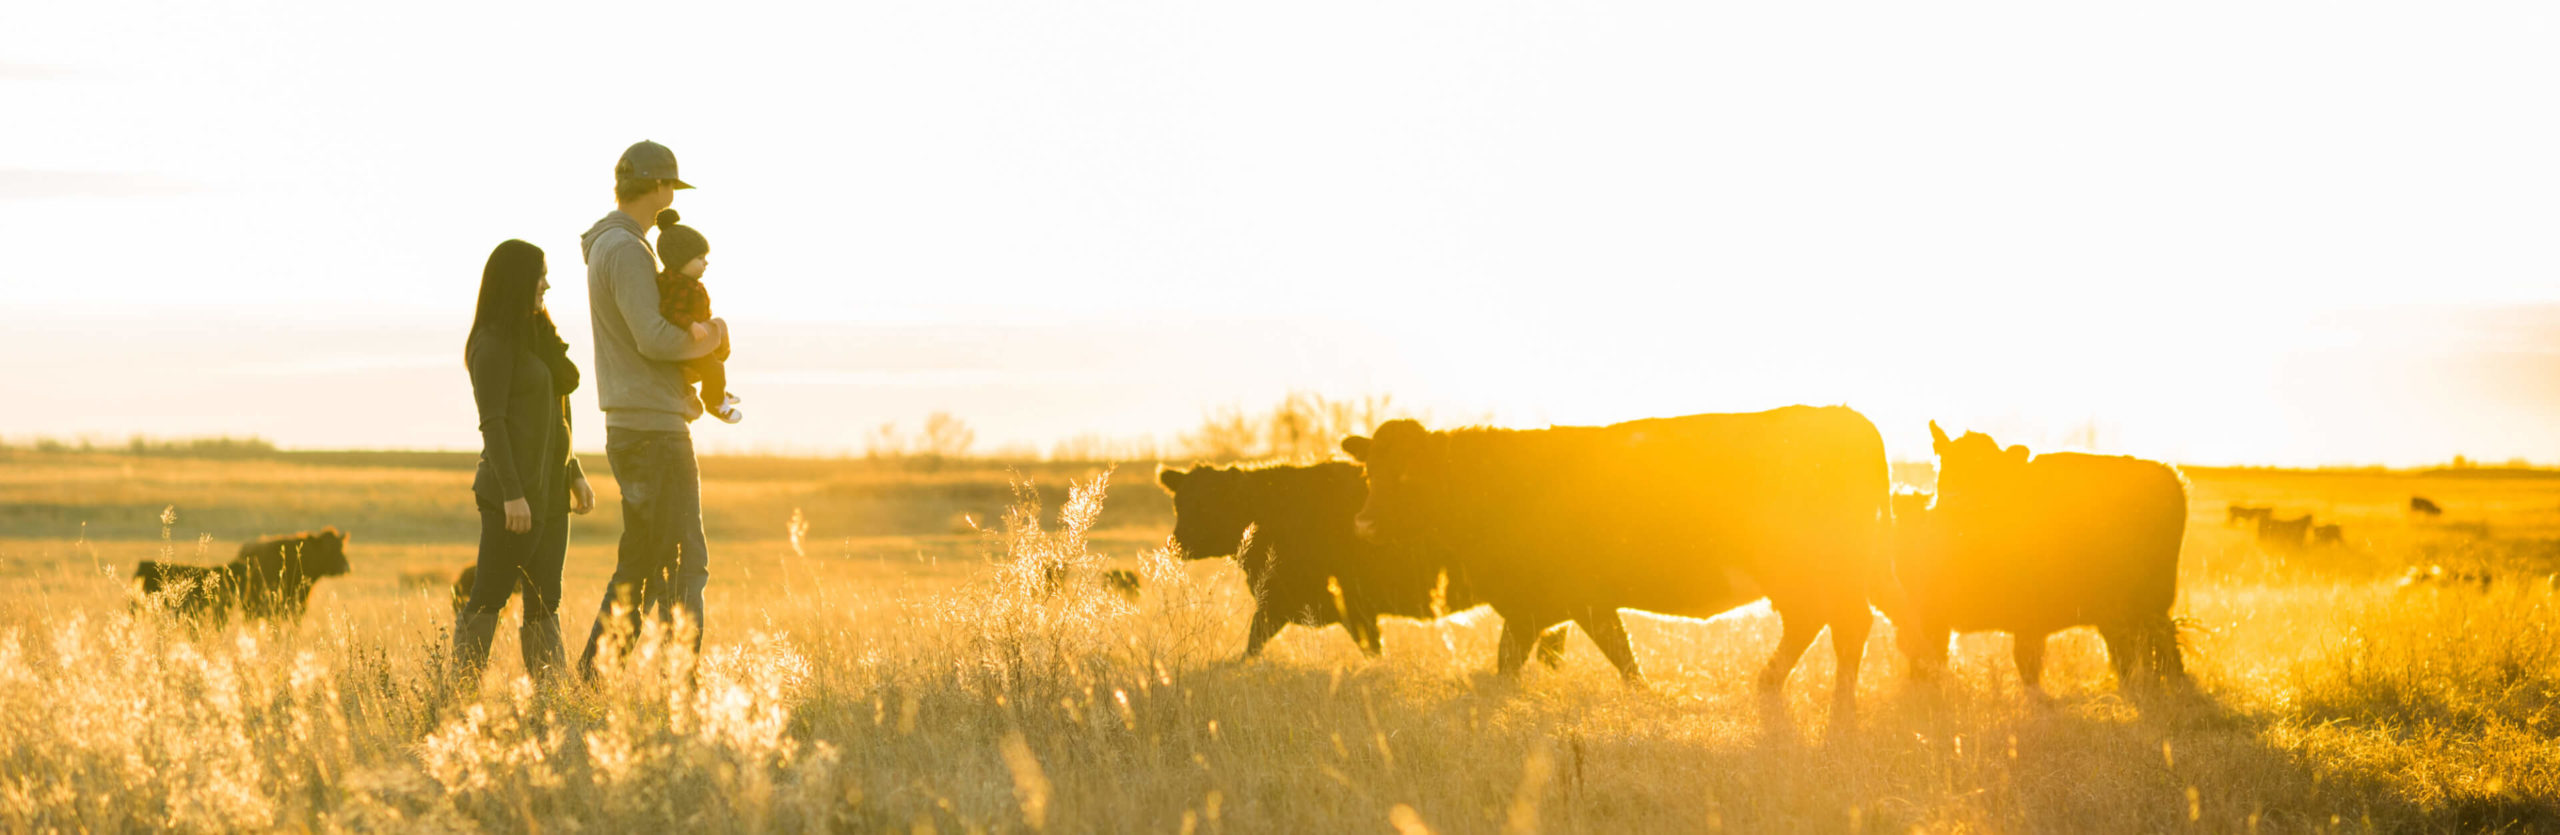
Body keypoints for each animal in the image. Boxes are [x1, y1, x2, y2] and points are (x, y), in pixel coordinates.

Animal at [1152, 463, 1566, 660]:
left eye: (1209, 504)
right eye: (1180, 502)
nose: (1177, 543)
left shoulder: (1352, 608)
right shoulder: (1280, 605)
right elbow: (1252, 646)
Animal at [1341, 402, 1884, 712]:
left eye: (1410, 475)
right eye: (1369, 472)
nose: (1363, 524)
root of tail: (1847, 417)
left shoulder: (1559, 600)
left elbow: (1610, 657)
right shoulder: (1549, 605)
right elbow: (1600, 655)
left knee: (1844, 625)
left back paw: (1838, 708)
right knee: (1814, 622)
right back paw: (1771, 684)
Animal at [1894, 425, 2191, 691]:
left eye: (1988, 472)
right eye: (1943, 470)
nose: (1955, 504)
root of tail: (2166, 472)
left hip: (2146, 606)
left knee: (2155, 646)